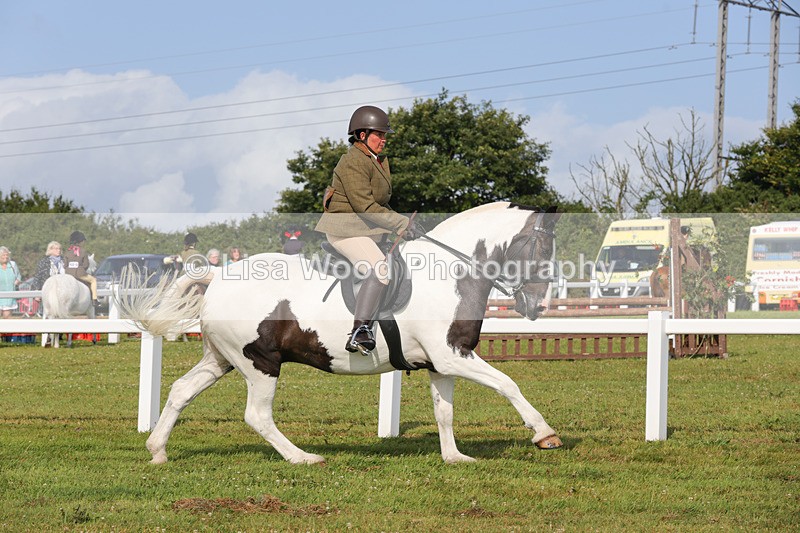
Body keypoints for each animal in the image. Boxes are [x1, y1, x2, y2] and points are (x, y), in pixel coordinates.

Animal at [119, 202, 563, 464]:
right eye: (542, 250)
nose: (538, 307)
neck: (451, 274)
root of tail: (217, 278)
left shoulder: (442, 362)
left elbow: (445, 411)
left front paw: (455, 458)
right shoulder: (453, 356)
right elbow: (507, 384)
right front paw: (545, 434)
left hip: (222, 358)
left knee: (181, 390)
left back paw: (157, 450)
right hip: (260, 363)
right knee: (257, 415)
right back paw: (303, 458)